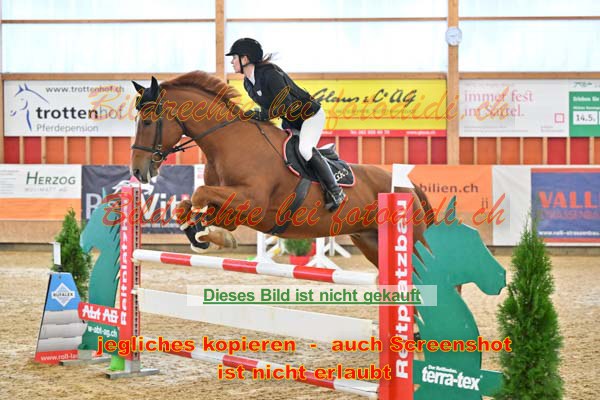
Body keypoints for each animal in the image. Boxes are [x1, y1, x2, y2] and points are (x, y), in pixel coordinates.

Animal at [130, 71, 432, 267]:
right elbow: (187, 205)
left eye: (147, 121)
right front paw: (204, 236)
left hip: (412, 241)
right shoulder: (234, 207)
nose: (137, 171)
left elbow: (199, 194)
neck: (228, 143)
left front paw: (211, 236)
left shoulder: (252, 201)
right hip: (370, 242)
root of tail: (408, 186)